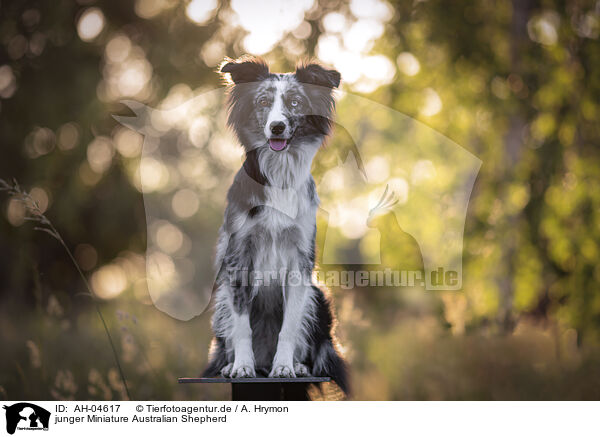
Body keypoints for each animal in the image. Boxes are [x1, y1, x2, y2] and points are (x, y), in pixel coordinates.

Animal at [203, 55, 346, 396]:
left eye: (295, 102)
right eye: (263, 102)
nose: (277, 126)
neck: (279, 173)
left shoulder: (299, 261)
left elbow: (290, 326)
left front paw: (285, 367)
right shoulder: (239, 256)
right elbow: (242, 325)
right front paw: (242, 367)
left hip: (318, 296)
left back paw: (295, 364)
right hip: (221, 299)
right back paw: (232, 364)